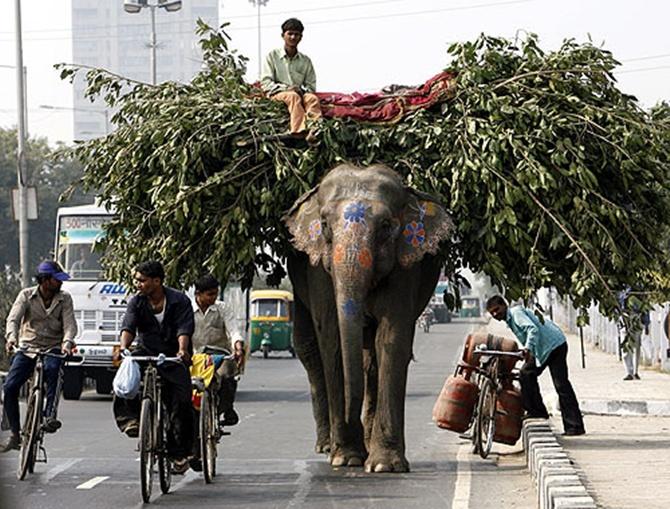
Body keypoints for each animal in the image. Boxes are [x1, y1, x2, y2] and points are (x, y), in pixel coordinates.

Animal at [280, 164, 454, 472]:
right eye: (324, 224)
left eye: (385, 226)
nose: (351, 418)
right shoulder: (317, 270)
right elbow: (332, 337)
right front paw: (346, 459)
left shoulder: (405, 266)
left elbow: (392, 338)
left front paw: (384, 465)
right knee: (308, 347)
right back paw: (327, 446)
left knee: (370, 359)